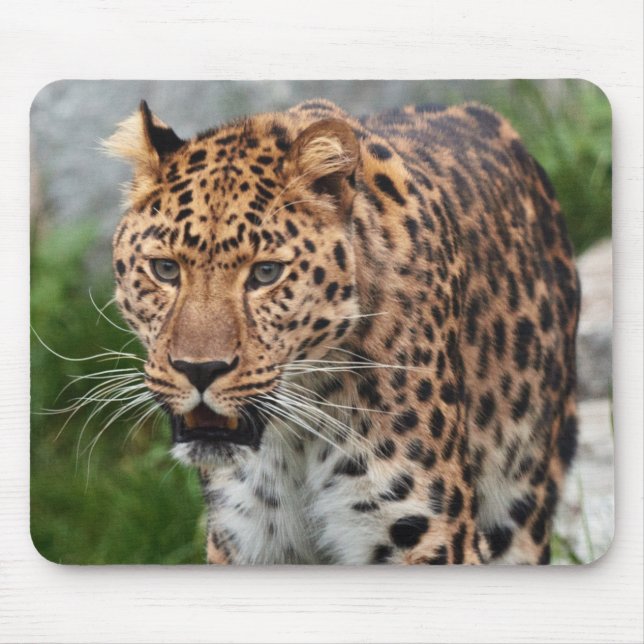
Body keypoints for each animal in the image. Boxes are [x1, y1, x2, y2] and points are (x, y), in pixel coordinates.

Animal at [106, 97, 580, 565]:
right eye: (165, 269)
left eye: (265, 273)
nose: (199, 370)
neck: (293, 436)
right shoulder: (245, 536)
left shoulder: (430, 534)